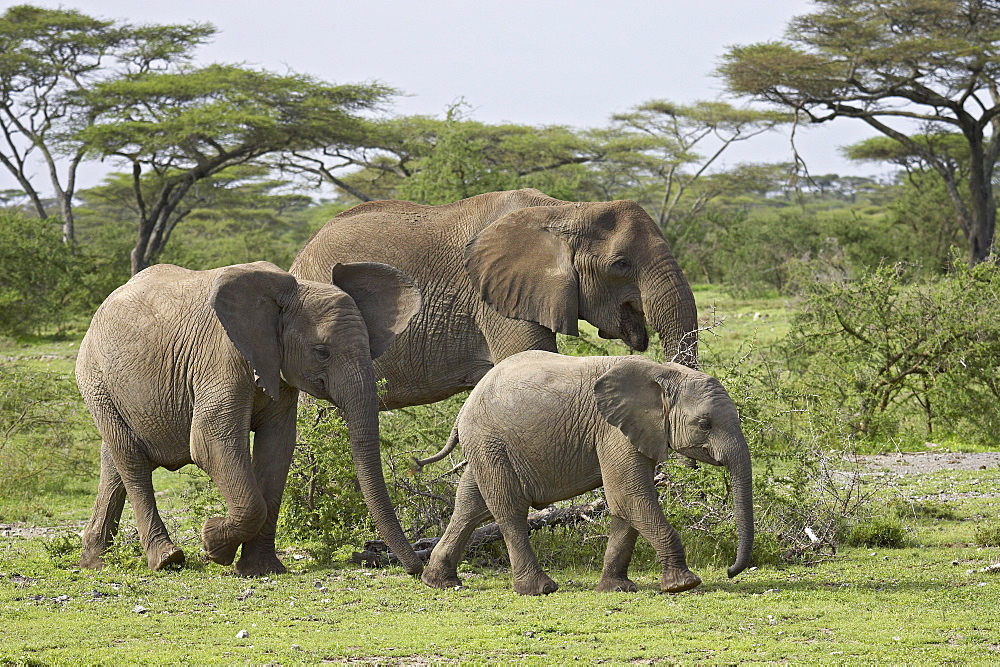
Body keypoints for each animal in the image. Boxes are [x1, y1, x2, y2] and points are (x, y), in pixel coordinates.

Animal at [75, 264, 426, 576]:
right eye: (322, 351)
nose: (417, 569)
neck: (289, 291)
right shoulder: (221, 357)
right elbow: (210, 441)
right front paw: (213, 545)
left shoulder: (278, 370)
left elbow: (277, 448)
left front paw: (260, 569)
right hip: (95, 379)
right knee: (131, 460)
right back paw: (166, 560)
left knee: (115, 459)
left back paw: (95, 561)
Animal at [414, 352, 752, 596]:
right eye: (705, 424)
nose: (730, 571)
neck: (663, 372)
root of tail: (465, 405)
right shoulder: (613, 430)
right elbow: (629, 495)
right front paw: (683, 584)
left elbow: (624, 504)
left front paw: (617, 589)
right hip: (490, 441)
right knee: (509, 509)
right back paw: (539, 590)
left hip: (487, 444)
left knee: (470, 505)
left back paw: (440, 582)